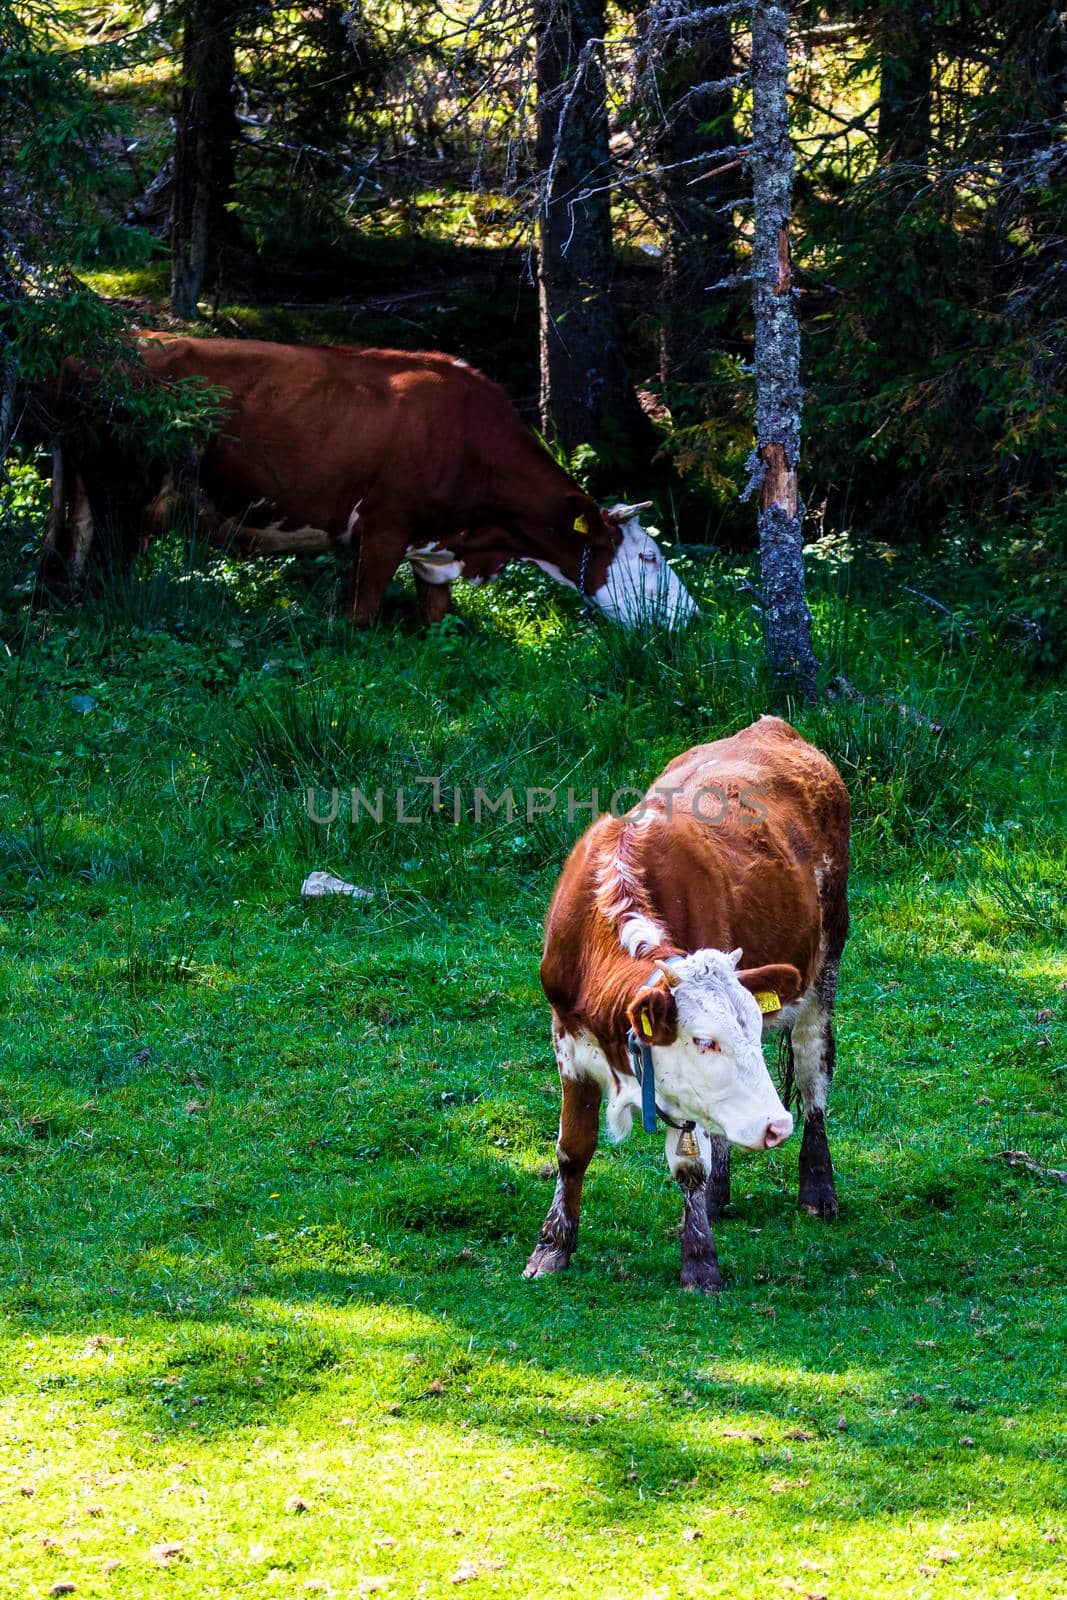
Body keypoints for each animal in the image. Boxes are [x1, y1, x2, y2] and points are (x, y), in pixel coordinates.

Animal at [39, 334, 700, 627]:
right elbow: (360, 616)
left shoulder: (433, 549)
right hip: (124, 494)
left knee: (68, 560)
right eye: (647, 558)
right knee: (106, 574)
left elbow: (437, 615)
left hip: (85, 492)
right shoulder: (382, 529)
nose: (694, 618)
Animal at [527, 720, 851, 1292]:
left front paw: (699, 1263)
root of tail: (774, 726)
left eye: (749, 1032)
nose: (776, 1126)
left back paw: (817, 1187)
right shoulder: (567, 1039)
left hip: (824, 970)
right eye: (705, 1040)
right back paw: (721, 1197)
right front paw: (552, 1246)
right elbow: (572, 1149)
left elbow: (688, 1165)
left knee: (814, 1074)